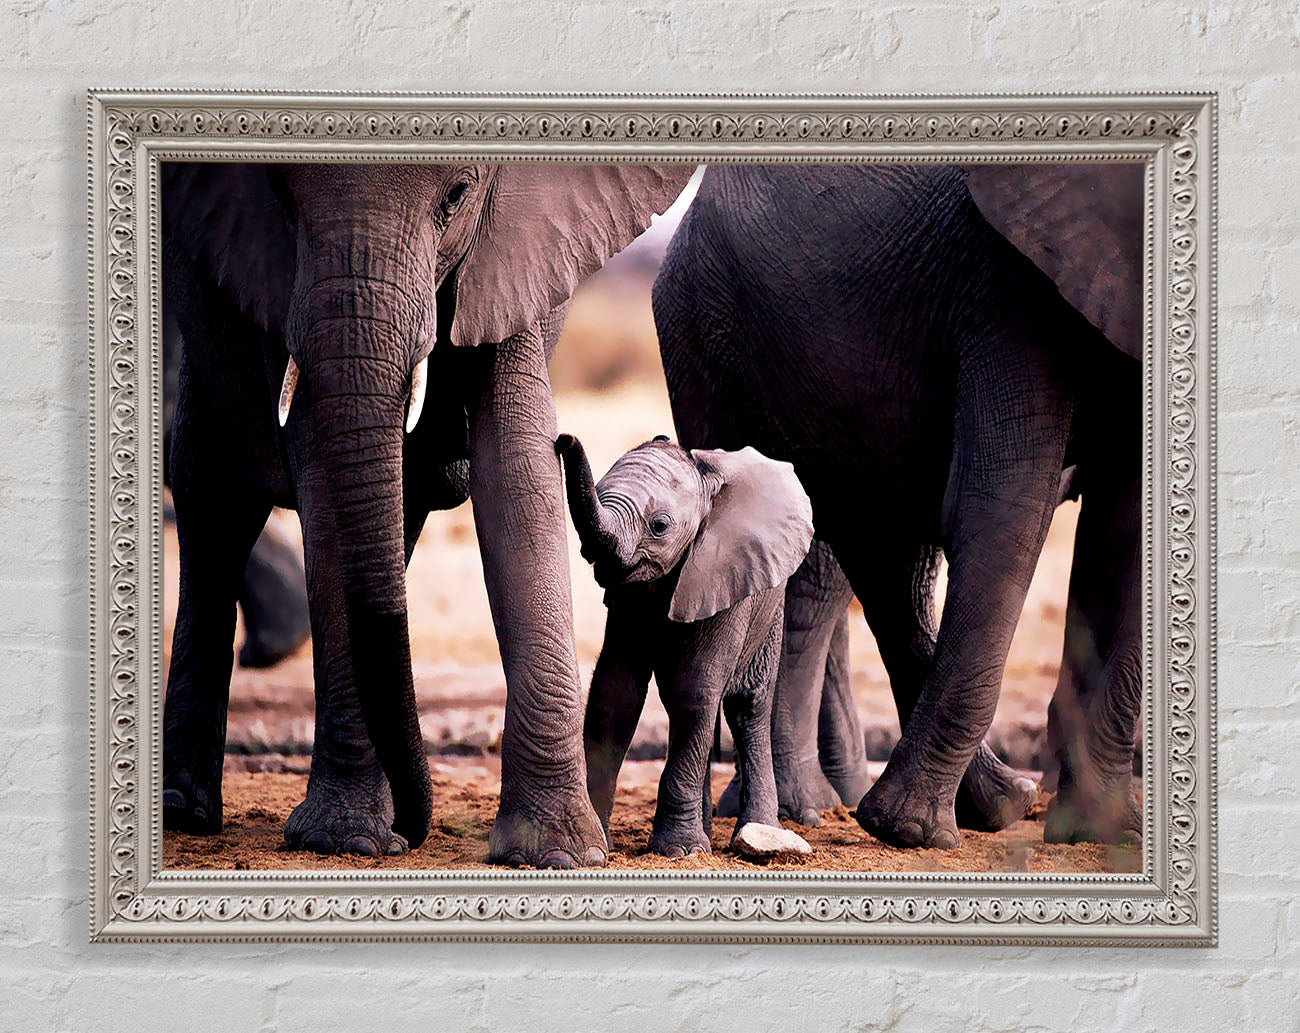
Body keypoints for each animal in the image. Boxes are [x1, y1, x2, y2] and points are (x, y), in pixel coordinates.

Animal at [161, 160, 693, 864]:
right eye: (278, 195)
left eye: (457, 198)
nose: (416, 832)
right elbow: (317, 467)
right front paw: (345, 840)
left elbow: (517, 471)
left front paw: (554, 853)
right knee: (215, 496)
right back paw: (185, 811)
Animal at [556, 433, 813, 859]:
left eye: (659, 526)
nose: (564, 439)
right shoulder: (628, 597)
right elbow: (615, 693)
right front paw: (600, 843)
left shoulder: (723, 572)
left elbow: (693, 689)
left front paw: (678, 851)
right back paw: (706, 835)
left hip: (769, 605)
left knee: (746, 707)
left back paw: (755, 832)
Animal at [653, 163, 1144, 848]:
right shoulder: (1008, 288)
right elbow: (1001, 512)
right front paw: (912, 832)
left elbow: (1122, 532)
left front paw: (1101, 829)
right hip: (706, 338)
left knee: (885, 557)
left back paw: (991, 805)